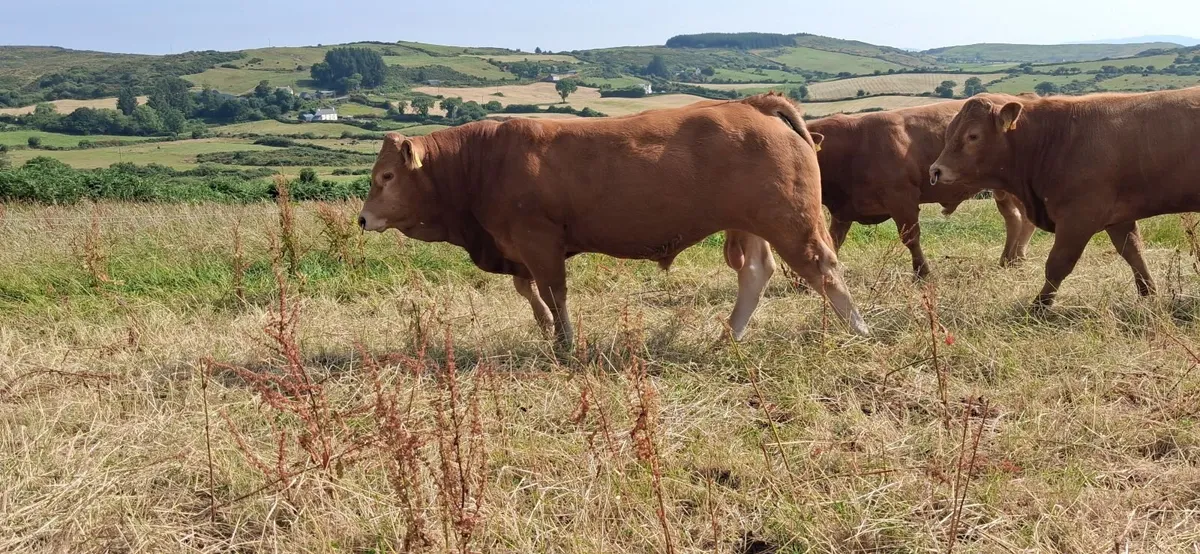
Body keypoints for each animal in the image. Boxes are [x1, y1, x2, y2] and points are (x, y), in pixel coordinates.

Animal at [358, 93, 869, 348]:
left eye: (386, 176)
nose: (363, 218)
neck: (482, 162)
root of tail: (755, 104)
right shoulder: (516, 248)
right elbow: (530, 292)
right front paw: (546, 329)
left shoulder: (538, 240)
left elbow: (553, 291)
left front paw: (564, 341)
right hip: (751, 223)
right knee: (757, 273)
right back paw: (728, 337)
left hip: (790, 220)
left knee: (824, 270)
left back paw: (859, 330)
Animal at [809, 101, 1035, 278]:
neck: (853, 146)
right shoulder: (843, 211)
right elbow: (831, 242)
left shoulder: (902, 200)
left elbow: (911, 238)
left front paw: (922, 272)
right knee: (1014, 218)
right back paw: (1008, 259)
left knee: (1024, 219)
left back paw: (1017, 258)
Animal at [929, 89, 1200, 307]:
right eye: (949, 132)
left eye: (973, 136)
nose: (936, 170)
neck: (1054, 137)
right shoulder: (1119, 219)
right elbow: (1134, 253)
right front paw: (1148, 294)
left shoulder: (1078, 218)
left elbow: (1058, 263)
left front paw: (1039, 306)